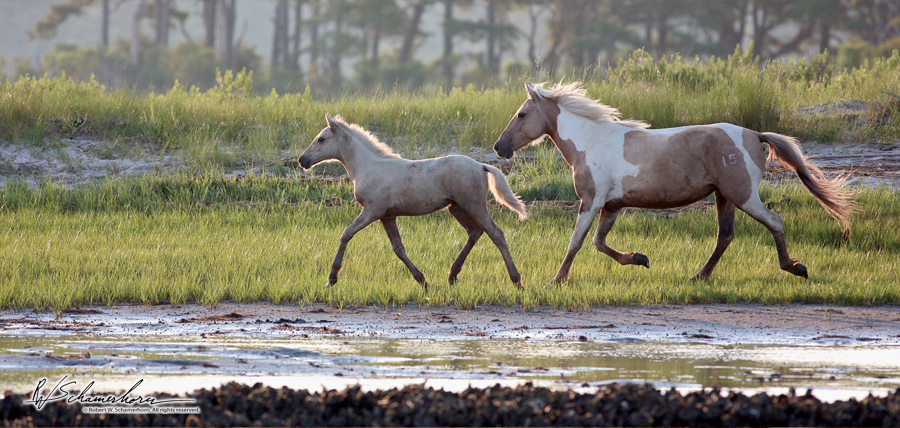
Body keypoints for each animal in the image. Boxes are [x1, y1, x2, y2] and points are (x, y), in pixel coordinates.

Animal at [302, 112, 528, 290]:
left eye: (321, 139)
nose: (302, 160)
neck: (369, 166)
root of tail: (481, 166)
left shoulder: (372, 211)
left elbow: (346, 234)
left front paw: (332, 278)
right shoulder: (387, 216)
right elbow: (398, 248)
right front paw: (422, 280)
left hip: (474, 205)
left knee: (496, 234)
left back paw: (517, 281)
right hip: (456, 208)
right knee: (474, 232)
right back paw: (452, 276)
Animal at [496, 83, 856, 284]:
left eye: (522, 114)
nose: (500, 148)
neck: (590, 141)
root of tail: (754, 135)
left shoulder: (591, 201)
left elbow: (576, 242)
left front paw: (556, 280)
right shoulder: (611, 206)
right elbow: (599, 242)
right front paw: (639, 258)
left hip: (742, 195)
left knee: (775, 221)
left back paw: (795, 267)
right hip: (724, 197)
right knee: (725, 236)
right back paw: (698, 277)